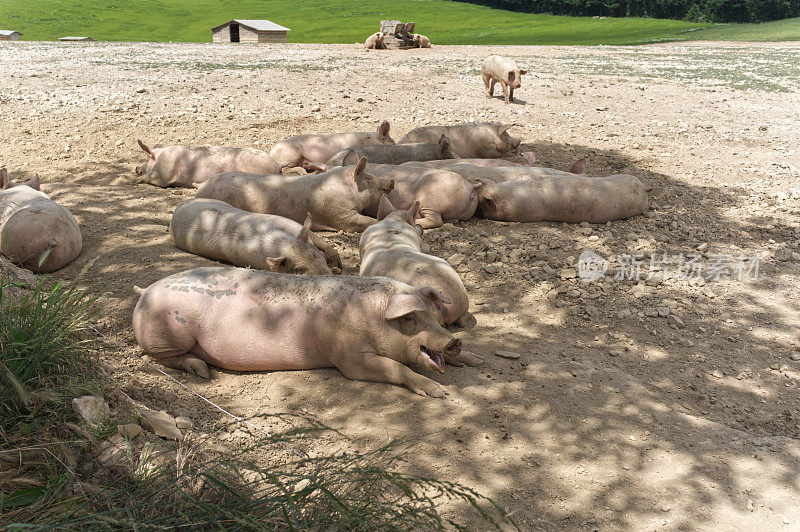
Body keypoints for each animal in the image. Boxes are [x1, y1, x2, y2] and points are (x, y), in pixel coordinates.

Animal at [133, 268, 462, 396]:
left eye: (433, 315)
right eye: (411, 319)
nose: (453, 341)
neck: (371, 317)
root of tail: (145, 290)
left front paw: (467, 359)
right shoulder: (349, 356)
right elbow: (395, 367)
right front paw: (441, 393)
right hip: (171, 332)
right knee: (156, 356)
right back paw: (202, 371)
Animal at [137, 141, 284, 189]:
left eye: (147, 160)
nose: (136, 168)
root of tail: (277, 165)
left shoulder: (163, 175)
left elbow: (148, 178)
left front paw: (133, 180)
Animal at [171, 200, 338, 274]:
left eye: (314, 254)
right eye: (299, 269)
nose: (326, 275)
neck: (279, 243)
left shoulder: (287, 223)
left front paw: (338, 266)